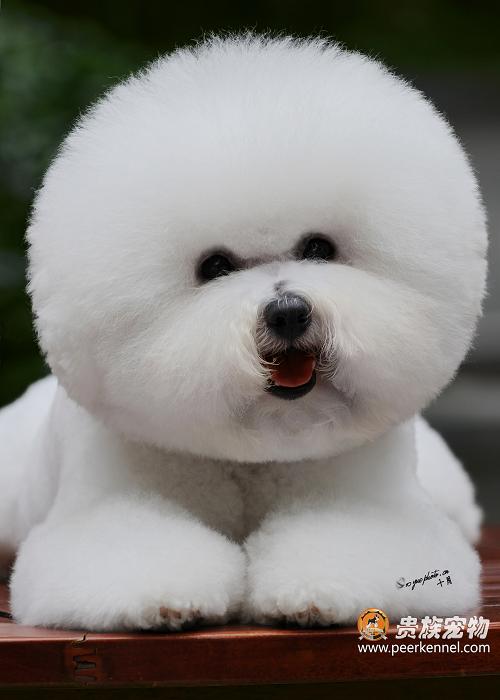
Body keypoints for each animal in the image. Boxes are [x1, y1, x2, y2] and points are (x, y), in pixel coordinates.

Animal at [0, 35, 487, 630]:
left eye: (318, 248)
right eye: (215, 266)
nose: (289, 313)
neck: (254, 457)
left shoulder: (368, 497)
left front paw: (312, 593)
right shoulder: (111, 499)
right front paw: (166, 598)